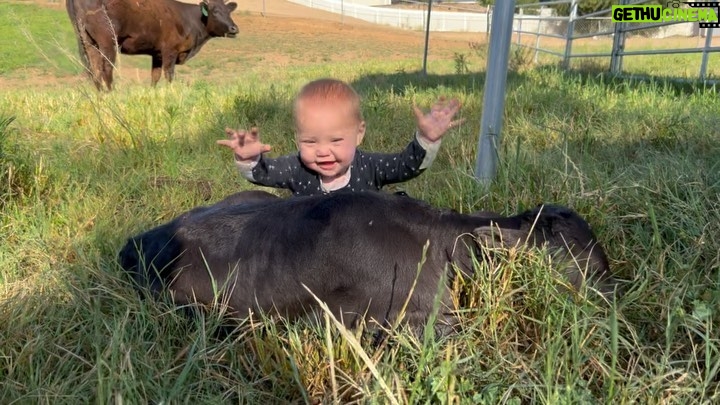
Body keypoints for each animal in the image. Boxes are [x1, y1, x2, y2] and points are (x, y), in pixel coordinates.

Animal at [66, 0, 238, 89]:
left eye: (229, 12)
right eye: (215, 11)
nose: (234, 28)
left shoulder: (157, 53)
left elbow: (155, 76)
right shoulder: (170, 50)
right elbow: (169, 75)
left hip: (88, 41)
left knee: (93, 69)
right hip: (108, 41)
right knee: (106, 68)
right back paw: (110, 93)